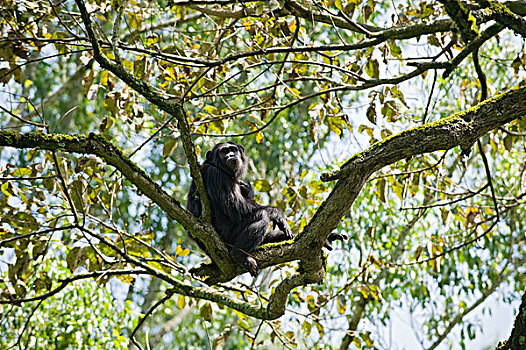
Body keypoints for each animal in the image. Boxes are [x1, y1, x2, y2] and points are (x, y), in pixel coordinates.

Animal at [187, 142, 292, 276]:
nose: (231, 155)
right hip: (228, 238)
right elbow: (236, 206)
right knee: (262, 215)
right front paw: (278, 214)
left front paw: (247, 188)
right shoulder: (216, 174)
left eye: (233, 149)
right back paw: (239, 255)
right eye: (224, 151)